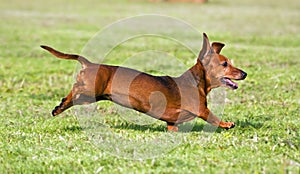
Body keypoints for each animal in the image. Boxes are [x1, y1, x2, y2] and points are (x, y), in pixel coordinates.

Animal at [41, 32, 246, 131]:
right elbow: (213, 117)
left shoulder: (172, 123)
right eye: (225, 64)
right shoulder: (202, 110)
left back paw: (58, 108)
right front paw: (226, 124)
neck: (196, 81)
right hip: (89, 91)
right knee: (74, 90)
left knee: (71, 98)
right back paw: (61, 104)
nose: (244, 74)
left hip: (89, 96)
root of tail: (90, 64)